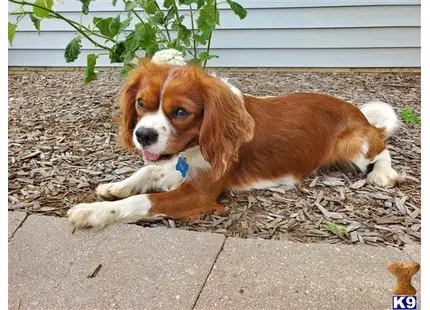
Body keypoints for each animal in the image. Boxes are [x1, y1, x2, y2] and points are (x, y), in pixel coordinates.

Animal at [66, 61, 400, 230]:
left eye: (181, 112)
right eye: (140, 103)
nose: (143, 135)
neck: (195, 146)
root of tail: (359, 114)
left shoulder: (198, 193)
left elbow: (142, 201)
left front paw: (92, 212)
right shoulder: (176, 165)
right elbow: (146, 173)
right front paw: (114, 187)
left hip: (355, 145)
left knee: (382, 147)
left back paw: (383, 174)